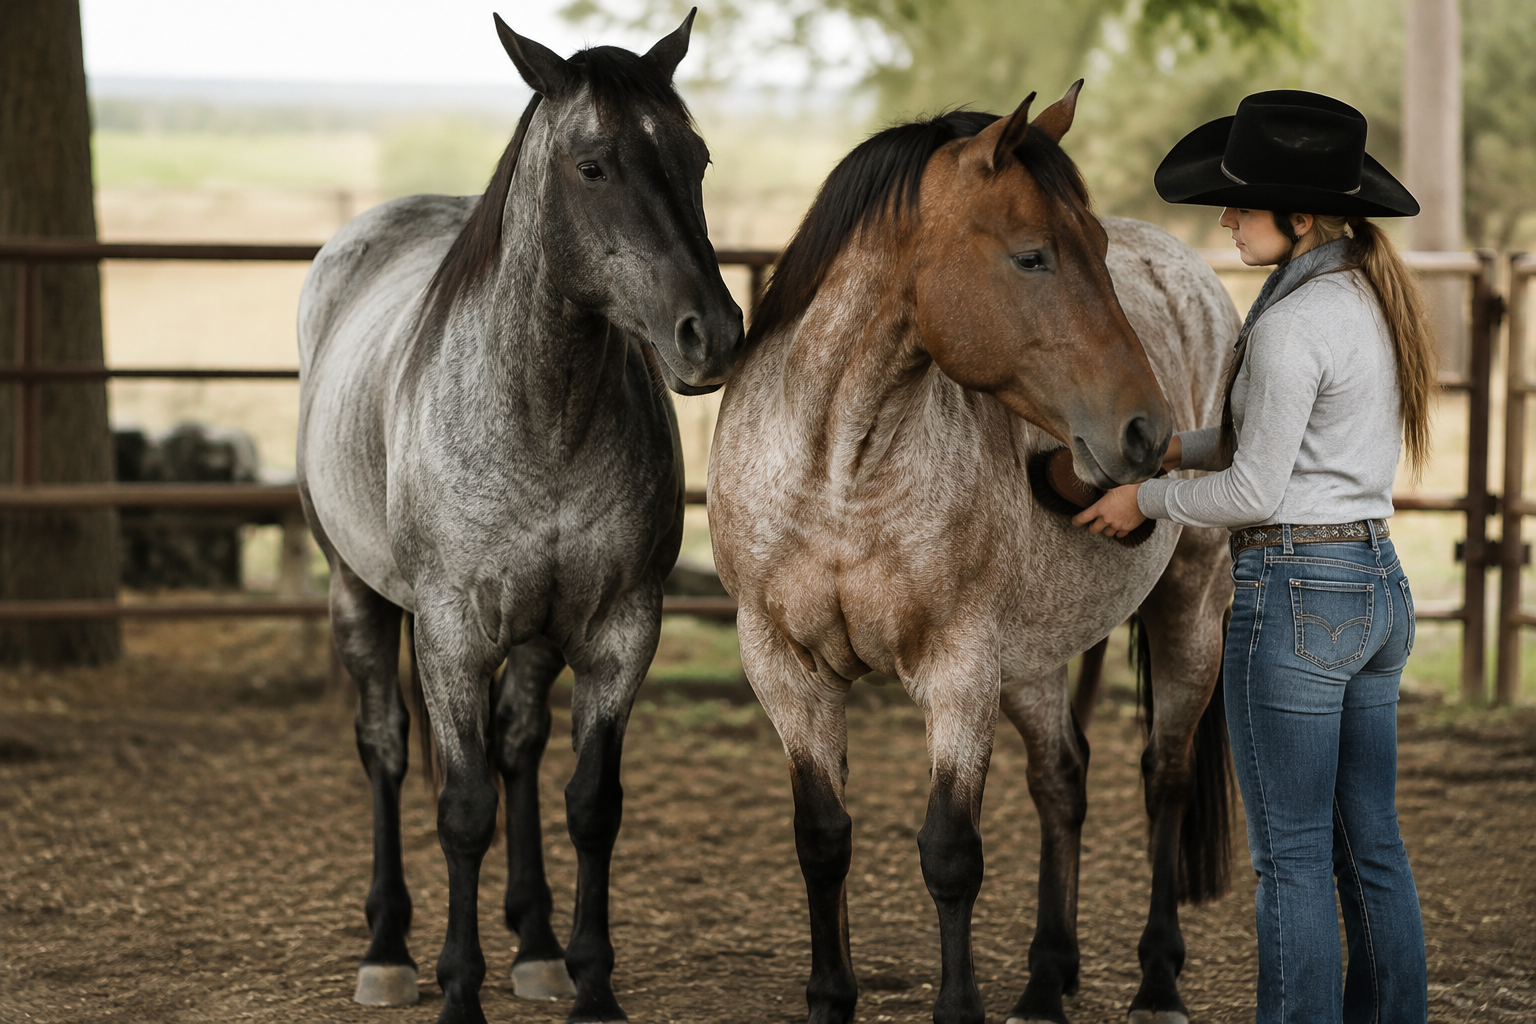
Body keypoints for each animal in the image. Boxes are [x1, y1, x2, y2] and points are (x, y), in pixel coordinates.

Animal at [295, 13, 743, 1024]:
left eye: (696, 158)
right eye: (593, 166)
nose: (713, 335)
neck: (543, 415)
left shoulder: (620, 629)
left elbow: (590, 803)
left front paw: (592, 987)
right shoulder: (452, 636)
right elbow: (463, 810)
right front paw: (457, 991)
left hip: (537, 636)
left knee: (519, 748)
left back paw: (536, 946)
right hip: (357, 596)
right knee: (386, 748)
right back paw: (387, 952)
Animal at [708, 86, 1241, 1024]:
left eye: (1099, 250)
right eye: (1033, 257)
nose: (1149, 432)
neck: (837, 471)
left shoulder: (958, 669)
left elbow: (951, 853)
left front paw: (959, 1006)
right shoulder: (784, 667)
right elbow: (823, 840)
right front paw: (829, 998)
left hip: (1189, 604)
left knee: (1164, 779)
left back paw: (1157, 981)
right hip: (1032, 656)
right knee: (1062, 779)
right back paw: (1045, 980)